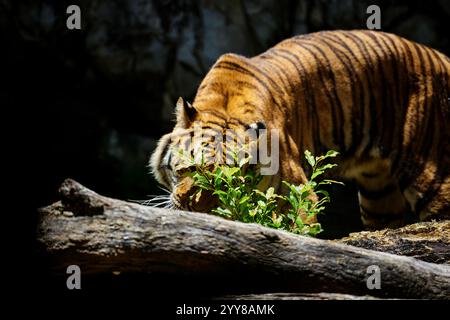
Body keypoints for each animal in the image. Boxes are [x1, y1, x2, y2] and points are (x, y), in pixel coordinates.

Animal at [151, 29, 450, 230]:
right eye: (190, 168)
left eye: (228, 181)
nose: (196, 209)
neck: (223, 108)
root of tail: (440, 56)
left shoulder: (297, 193)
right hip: (377, 192)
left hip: (428, 171)